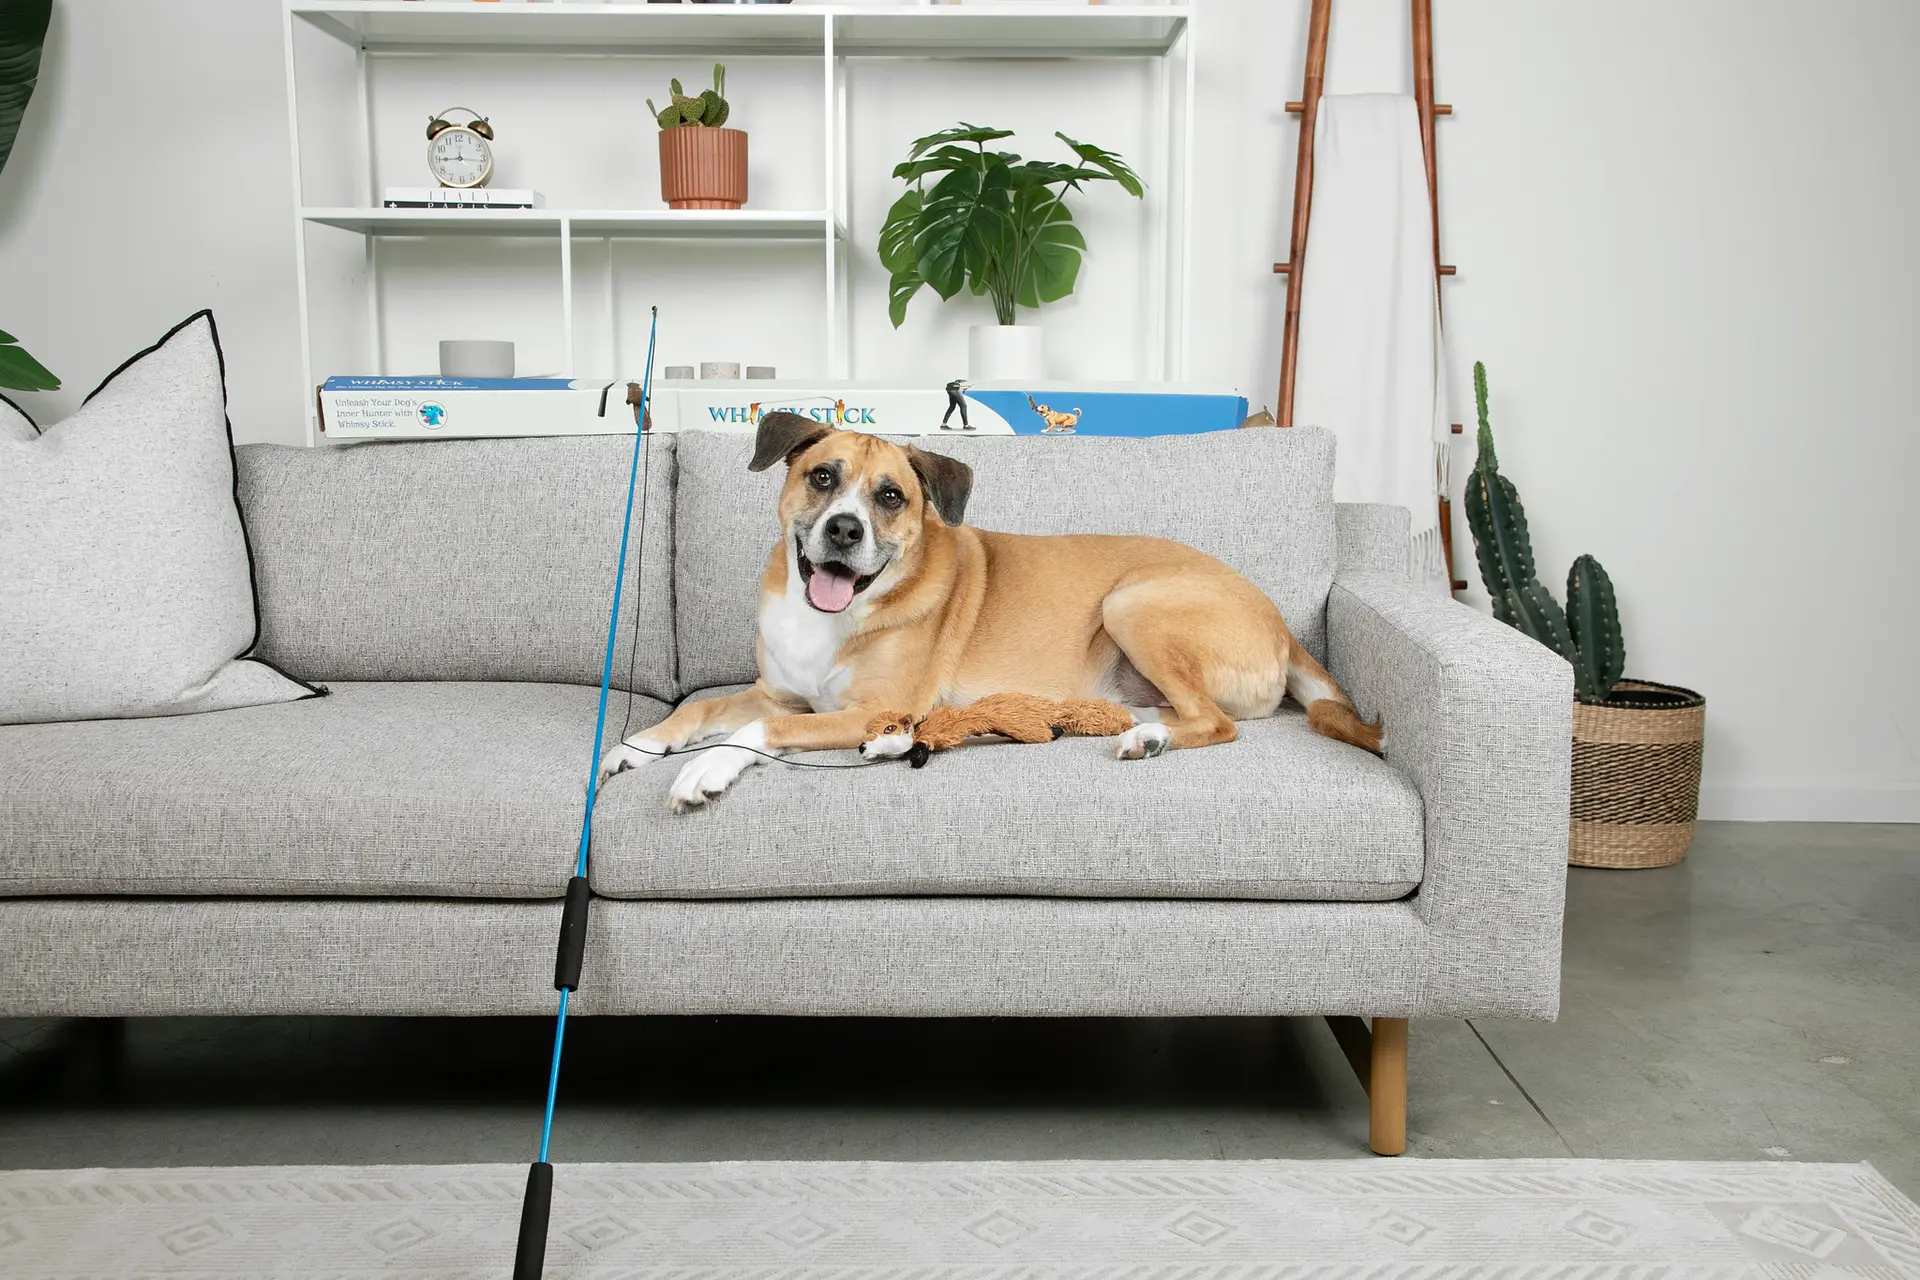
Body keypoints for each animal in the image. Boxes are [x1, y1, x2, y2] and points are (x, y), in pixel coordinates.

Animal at [601, 412, 1383, 810]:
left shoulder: (867, 706)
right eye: (821, 477)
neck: (837, 612)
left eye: (891, 497)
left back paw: (1149, 738)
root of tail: (1284, 627)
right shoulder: (779, 690)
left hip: (1133, 600)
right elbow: (708, 709)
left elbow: (760, 730)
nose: (844, 531)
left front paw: (705, 770)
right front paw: (641, 744)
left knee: (1218, 723)